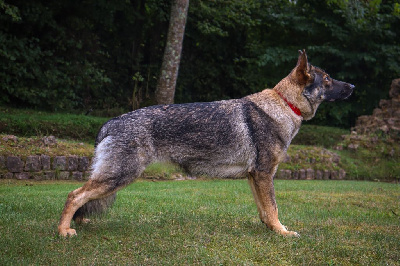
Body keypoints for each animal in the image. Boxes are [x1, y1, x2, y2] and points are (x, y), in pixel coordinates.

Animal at [58, 50, 354, 237]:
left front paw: (271, 230)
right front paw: (283, 233)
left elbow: (264, 211)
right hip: (120, 177)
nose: (352, 86)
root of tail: (110, 123)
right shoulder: (264, 174)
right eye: (328, 80)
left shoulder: (255, 177)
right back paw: (64, 231)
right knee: (73, 195)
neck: (284, 104)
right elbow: (273, 208)